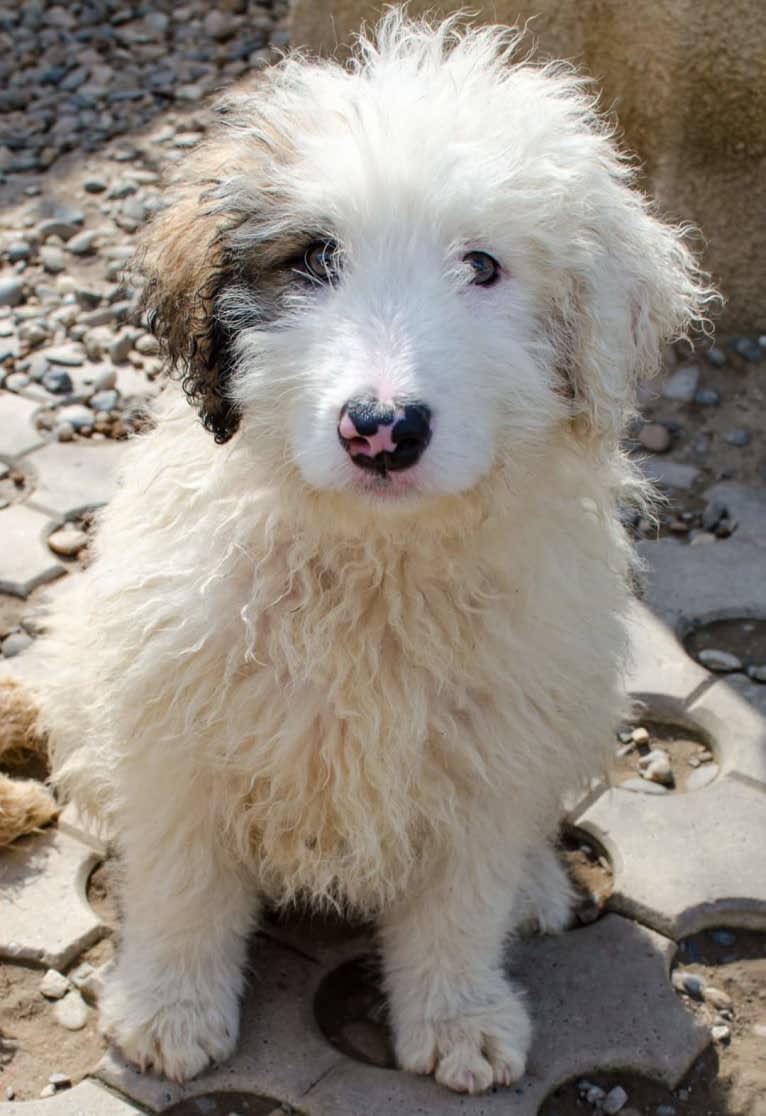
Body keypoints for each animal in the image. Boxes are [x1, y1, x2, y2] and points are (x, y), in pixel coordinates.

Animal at [6, 13, 714, 1098]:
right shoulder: (178, 726)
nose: (381, 428)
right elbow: (183, 882)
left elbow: (460, 902)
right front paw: (170, 1006)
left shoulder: (487, 748)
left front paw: (460, 1015)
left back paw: (536, 886)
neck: (373, 559)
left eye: (482, 266)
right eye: (314, 258)